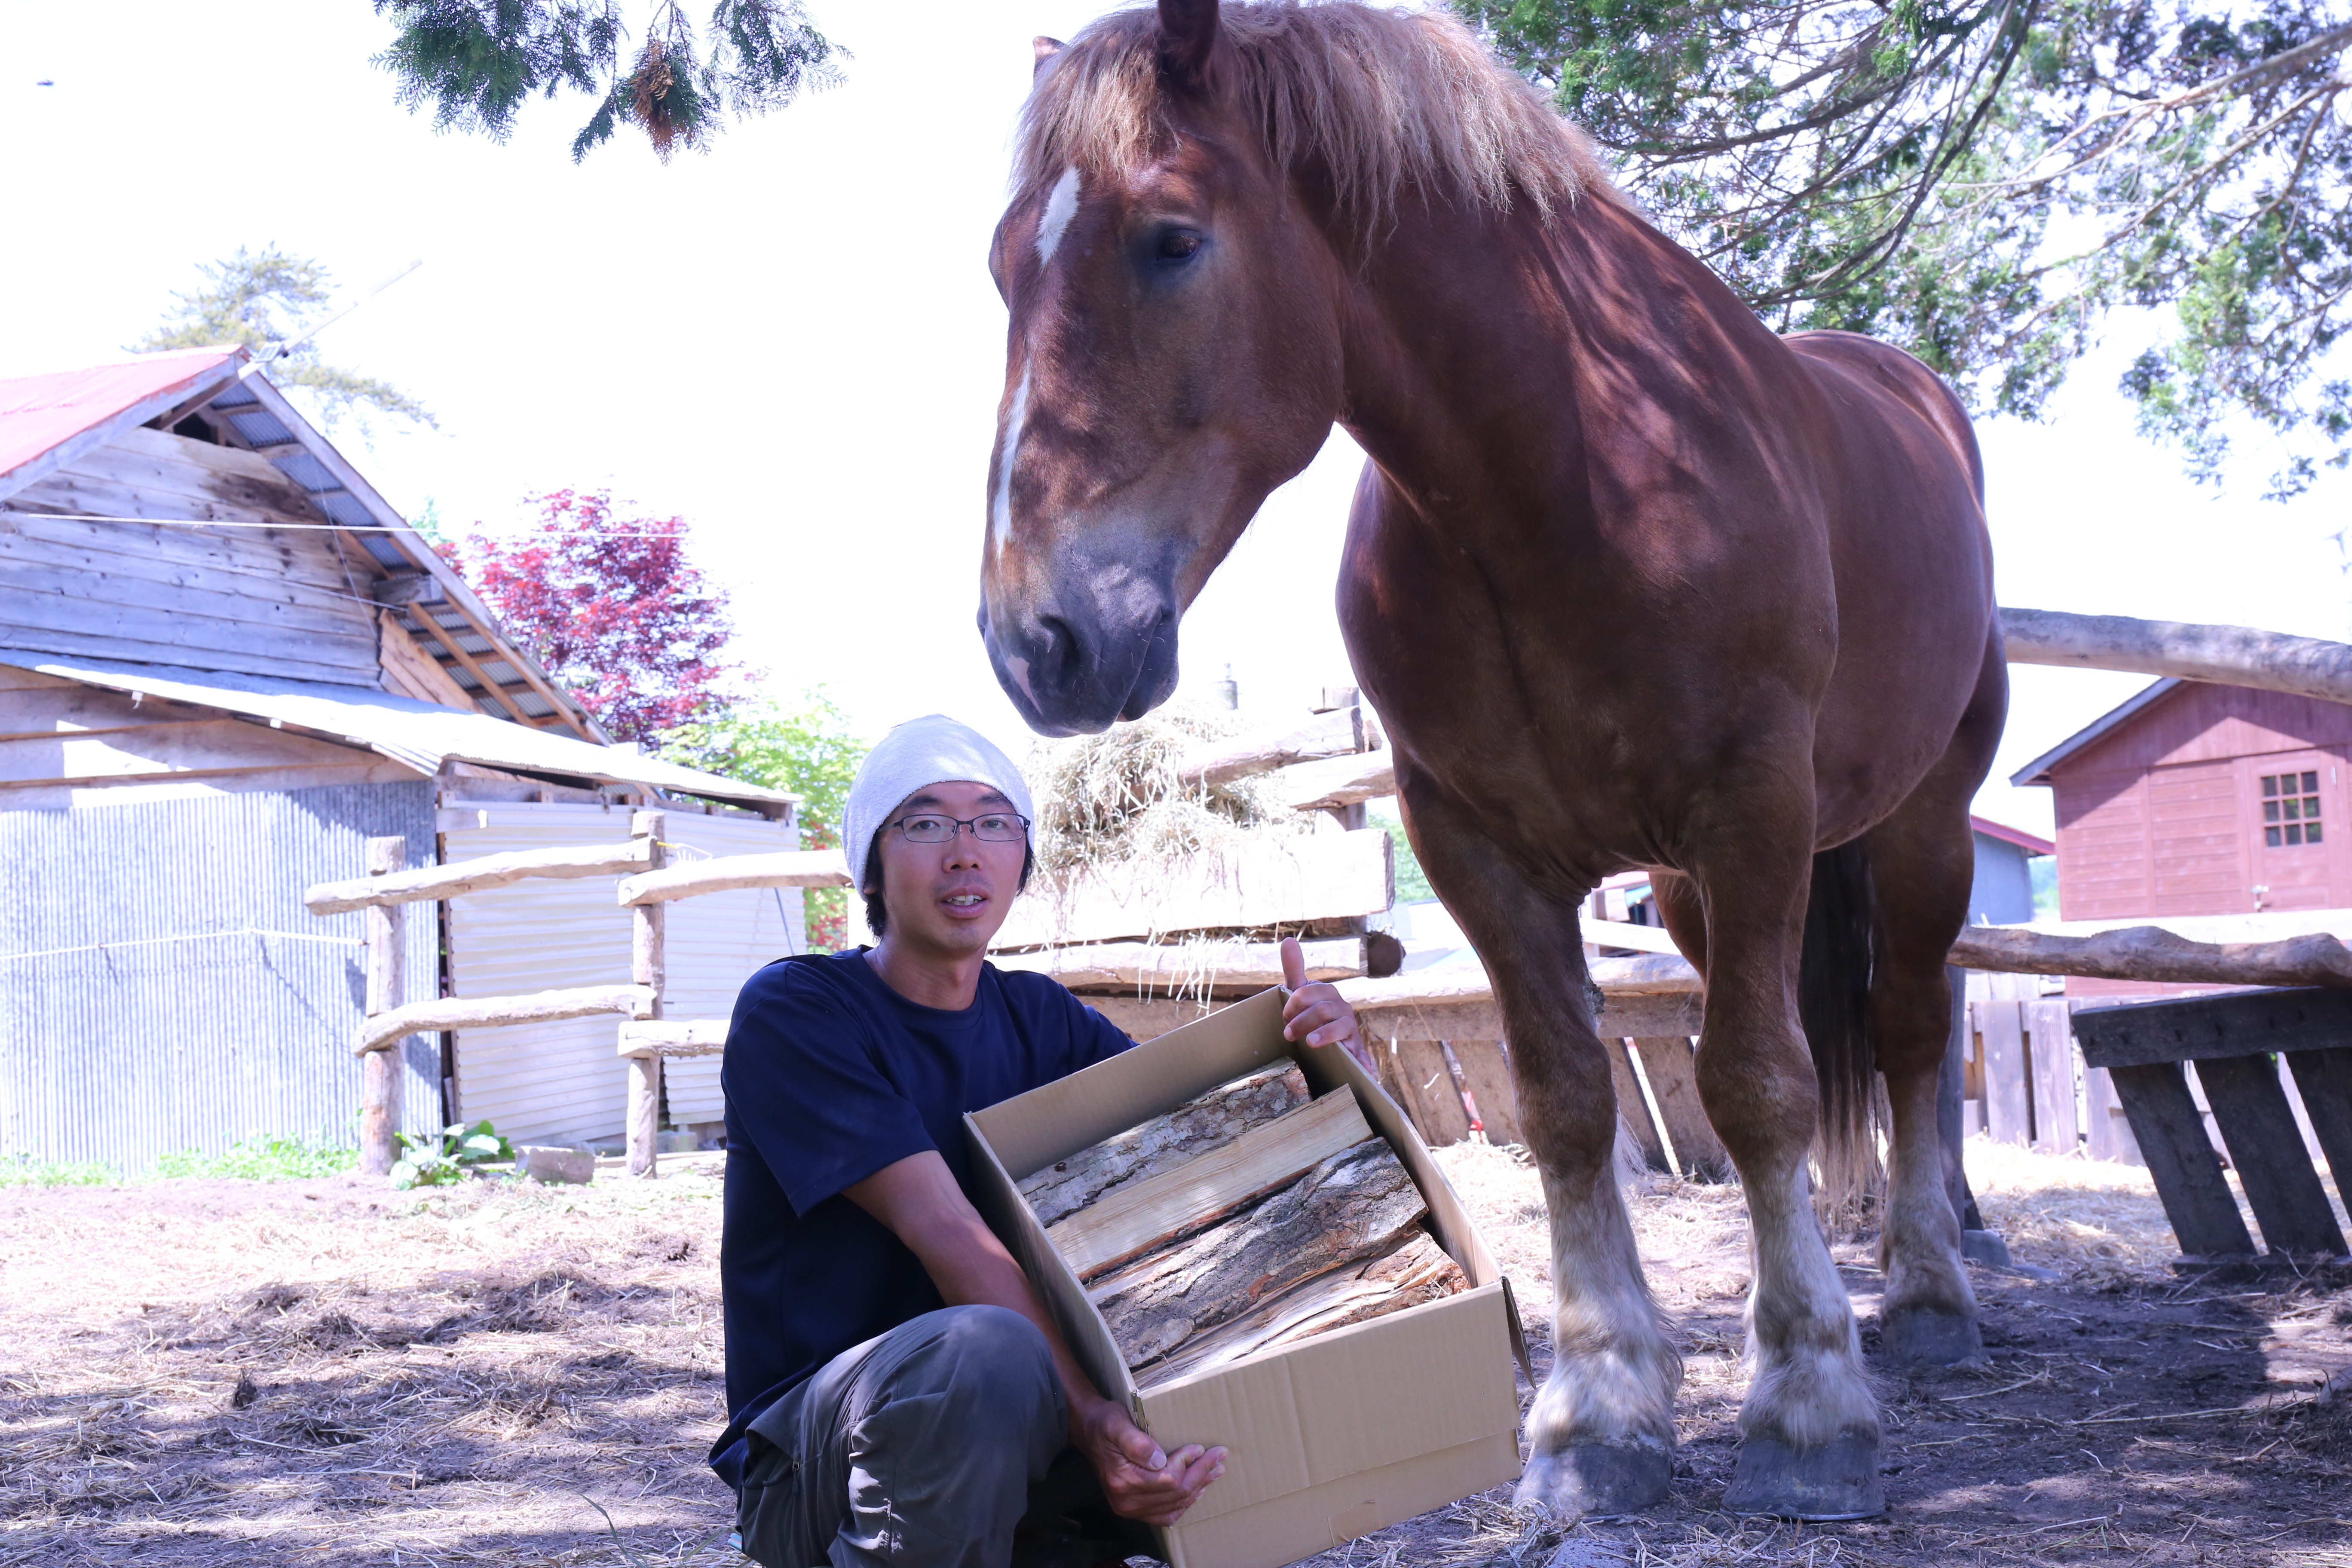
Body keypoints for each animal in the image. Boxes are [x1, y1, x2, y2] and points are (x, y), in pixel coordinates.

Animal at [974, 0, 2004, 1523]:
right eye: (1002, 269)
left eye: (1170, 239)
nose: (1035, 642)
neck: (1563, 482)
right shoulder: (1478, 845)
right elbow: (1572, 1103)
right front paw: (1600, 1410)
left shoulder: (1753, 808)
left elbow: (1759, 1086)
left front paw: (1810, 1404)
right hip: (1694, 892)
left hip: (1920, 828)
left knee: (1914, 1027)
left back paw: (1929, 1291)